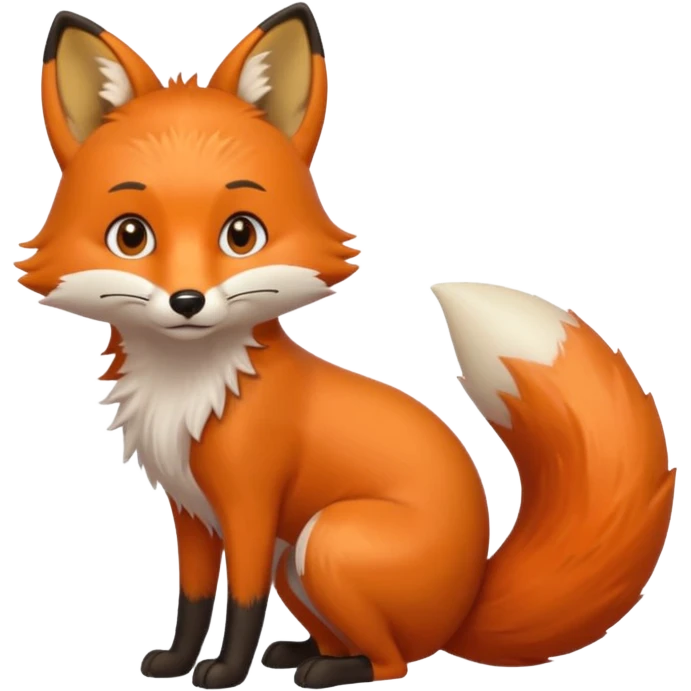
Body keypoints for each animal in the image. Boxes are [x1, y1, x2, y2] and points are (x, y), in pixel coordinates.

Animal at [18, 4, 676, 689]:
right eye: (131, 236)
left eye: (241, 234)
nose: (187, 301)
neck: (192, 388)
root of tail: (467, 601)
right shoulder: (192, 511)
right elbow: (195, 598)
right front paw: (176, 661)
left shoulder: (250, 504)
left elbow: (243, 600)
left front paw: (223, 671)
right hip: (297, 562)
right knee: (356, 641)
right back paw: (305, 653)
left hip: (325, 540)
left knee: (394, 662)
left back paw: (333, 670)